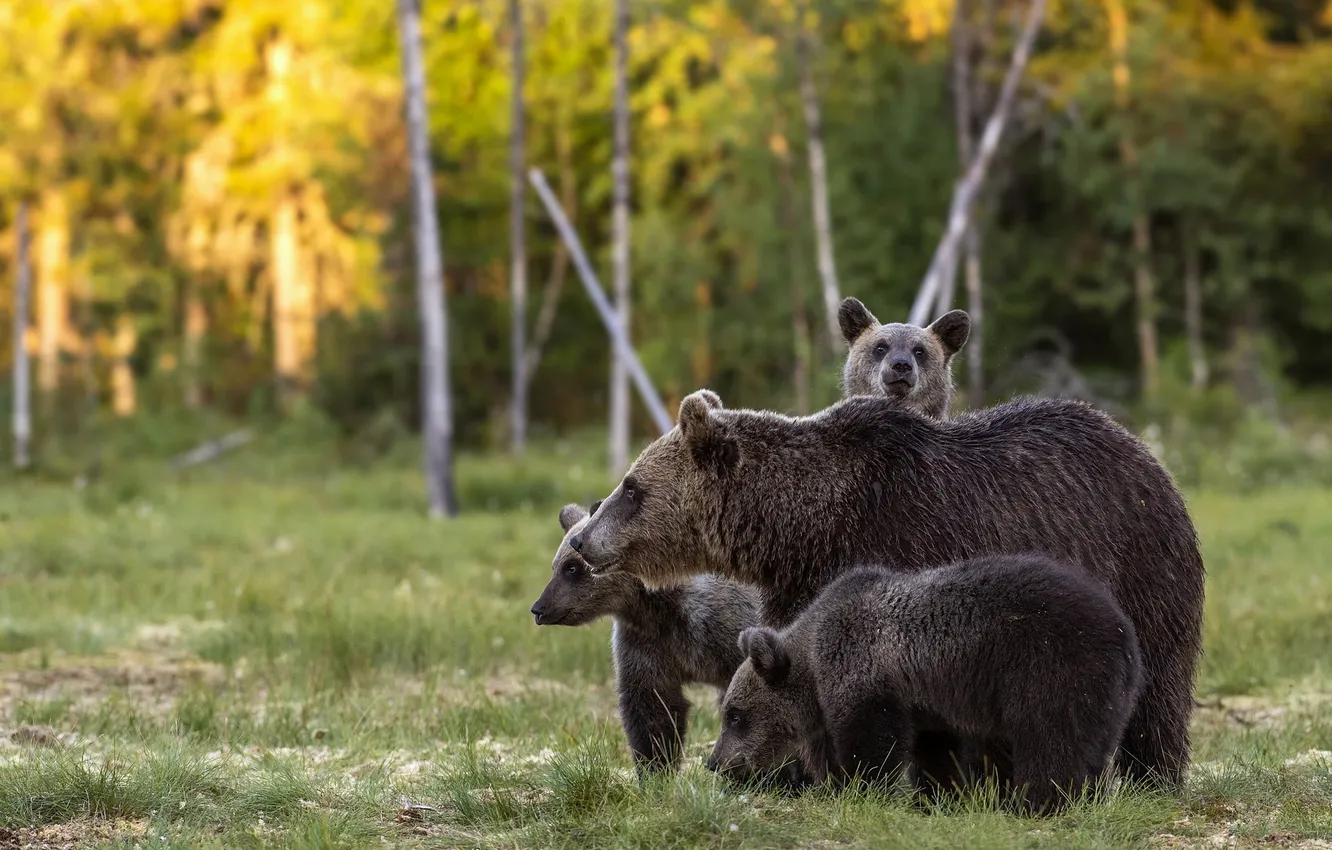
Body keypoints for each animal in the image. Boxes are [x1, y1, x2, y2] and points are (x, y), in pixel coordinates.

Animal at [530, 501, 761, 775]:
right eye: (555, 566)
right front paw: (655, 770)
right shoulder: (646, 645)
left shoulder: (726, 629)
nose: (539, 608)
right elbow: (651, 711)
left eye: (572, 568)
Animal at [705, 554, 1145, 816]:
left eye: (735, 716)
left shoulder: (864, 670)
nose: (715, 762)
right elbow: (935, 752)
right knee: (1090, 748)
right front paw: (939, 797)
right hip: (1107, 700)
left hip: (1048, 671)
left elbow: (873, 741)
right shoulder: (927, 705)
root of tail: (1124, 636)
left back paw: (1035, 804)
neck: (813, 658)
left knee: (1051, 743)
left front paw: (856, 788)